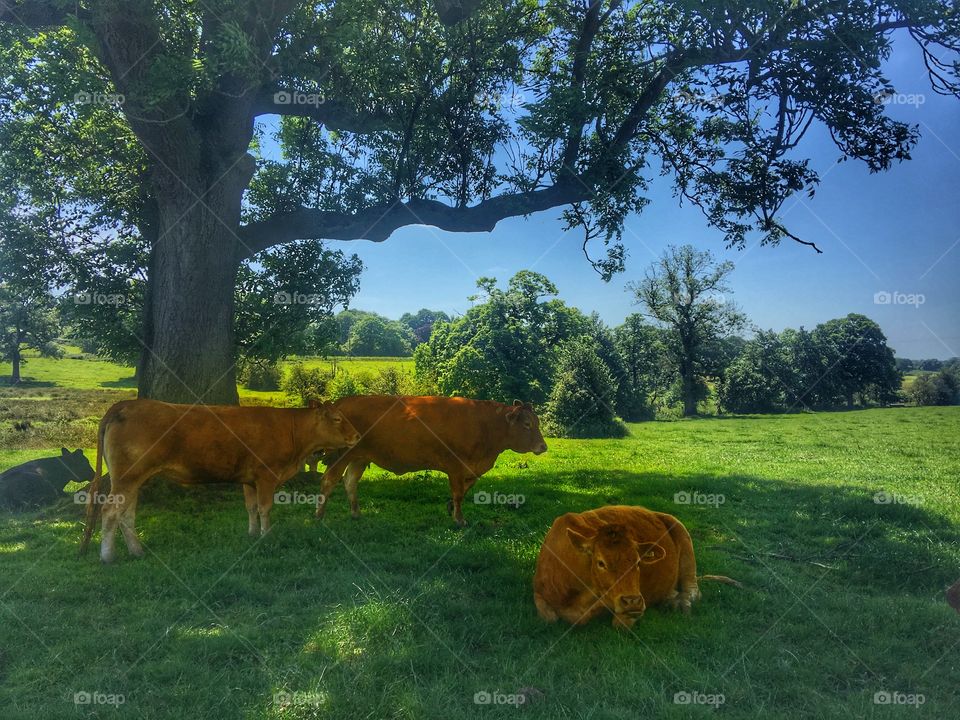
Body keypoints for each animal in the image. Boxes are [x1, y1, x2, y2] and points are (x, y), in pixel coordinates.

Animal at [79, 399, 360, 562]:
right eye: (337, 419)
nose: (357, 435)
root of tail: (126, 403)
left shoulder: (249, 479)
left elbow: (251, 507)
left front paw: (252, 534)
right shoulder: (266, 475)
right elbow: (265, 508)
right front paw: (266, 537)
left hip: (134, 478)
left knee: (126, 514)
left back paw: (137, 551)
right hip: (127, 477)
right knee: (110, 511)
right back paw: (108, 557)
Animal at [315, 396, 547, 526]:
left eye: (536, 422)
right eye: (527, 424)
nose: (543, 446)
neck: (485, 426)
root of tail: (344, 401)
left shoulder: (470, 469)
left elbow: (463, 491)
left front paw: (450, 508)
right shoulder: (455, 466)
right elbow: (459, 493)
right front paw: (459, 519)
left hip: (360, 457)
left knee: (350, 482)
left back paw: (356, 513)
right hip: (342, 455)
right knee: (329, 480)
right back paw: (319, 515)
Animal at [533, 505, 739, 629]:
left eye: (638, 562)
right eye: (600, 562)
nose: (632, 601)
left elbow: (617, 621)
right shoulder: (539, 592)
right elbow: (549, 617)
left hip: (683, 537)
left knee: (693, 590)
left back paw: (680, 602)